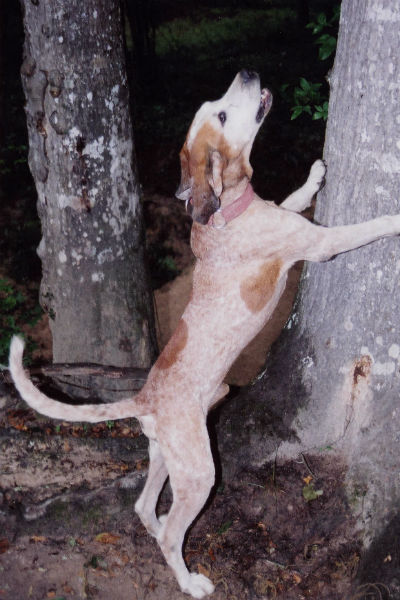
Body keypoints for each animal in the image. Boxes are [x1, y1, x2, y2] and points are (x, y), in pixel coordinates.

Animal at [9, 69, 400, 596]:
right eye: (222, 113)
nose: (247, 73)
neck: (227, 209)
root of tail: (145, 398)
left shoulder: (284, 213)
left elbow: (295, 197)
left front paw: (316, 175)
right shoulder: (318, 243)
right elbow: (365, 227)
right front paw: (393, 218)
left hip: (166, 457)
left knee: (144, 507)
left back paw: (155, 527)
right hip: (199, 474)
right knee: (172, 533)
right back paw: (190, 580)